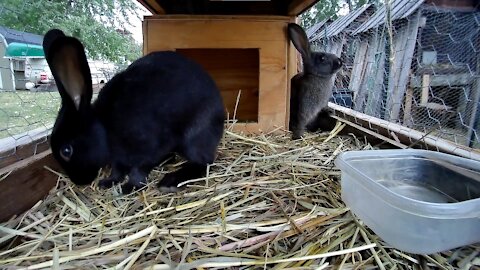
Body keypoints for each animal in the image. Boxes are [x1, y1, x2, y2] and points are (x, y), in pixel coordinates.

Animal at [42, 29, 226, 194]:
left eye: (66, 151)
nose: (79, 181)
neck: (105, 128)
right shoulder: (118, 159)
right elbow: (117, 170)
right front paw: (108, 182)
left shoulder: (148, 148)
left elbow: (139, 170)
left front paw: (129, 187)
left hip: (195, 136)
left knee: (204, 162)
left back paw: (170, 182)